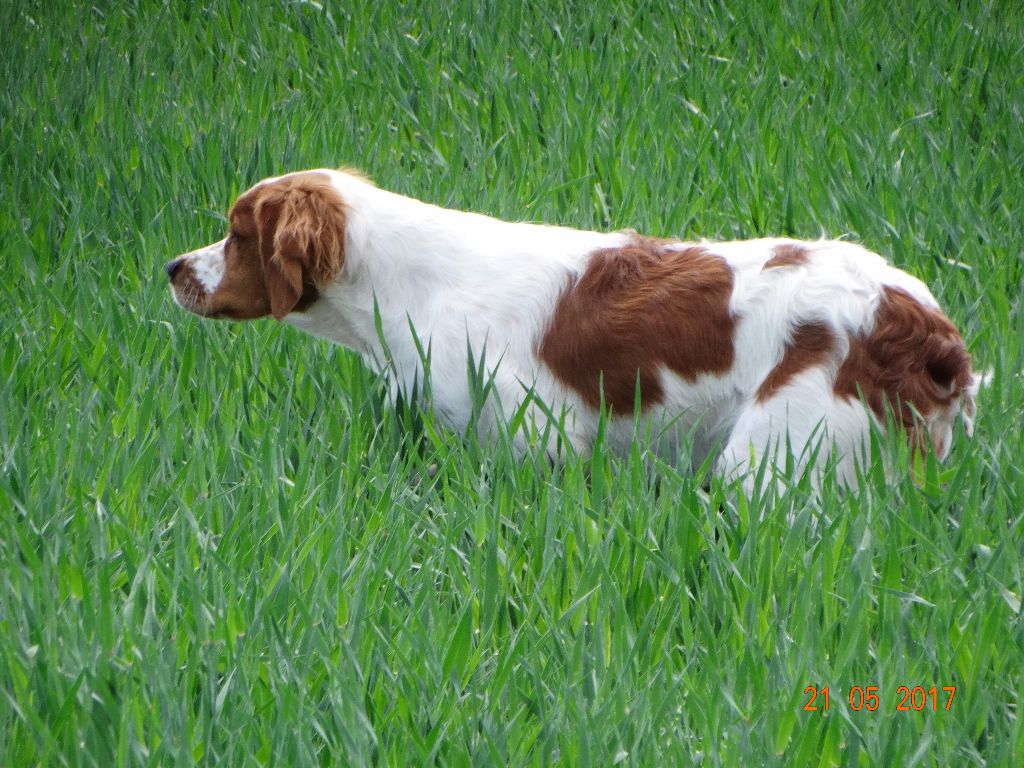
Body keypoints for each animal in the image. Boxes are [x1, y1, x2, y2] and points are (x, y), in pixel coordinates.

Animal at [165, 169, 974, 493]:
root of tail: (920, 320)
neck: (408, 283)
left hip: (773, 458)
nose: (172, 266)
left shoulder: (538, 439)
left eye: (236, 234)